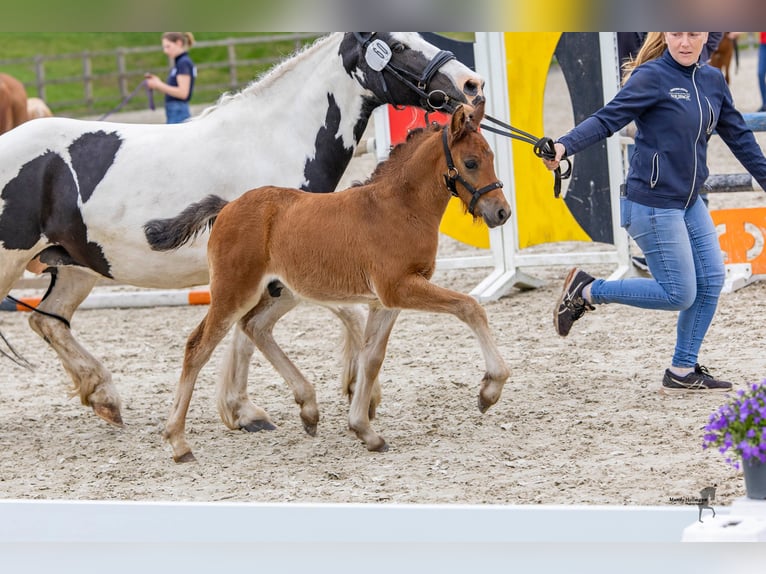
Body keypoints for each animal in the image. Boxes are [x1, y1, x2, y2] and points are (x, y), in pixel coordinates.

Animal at [0, 32, 484, 436]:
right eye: (396, 44)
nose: (471, 84)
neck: (272, 139)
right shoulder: (279, 271)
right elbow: (326, 319)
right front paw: (342, 394)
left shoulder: (266, 273)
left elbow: (248, 334)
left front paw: (243, 411)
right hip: (13, 263)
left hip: (75, 266)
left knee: (48, 321)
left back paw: (104, 397)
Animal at [148, 102, 512, 464]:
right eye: (470, 162)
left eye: (492, 156)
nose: (502, 212)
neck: (399, 207)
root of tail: (227, 207)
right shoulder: (399, 287)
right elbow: (470, 307)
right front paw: (489, 390)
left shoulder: (388, 300)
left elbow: (371, 358)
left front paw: (364, 429)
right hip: (233, 291)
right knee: (198, 347)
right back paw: (178, 442)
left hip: (282, 292)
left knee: (256, 327)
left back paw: (308, 408)